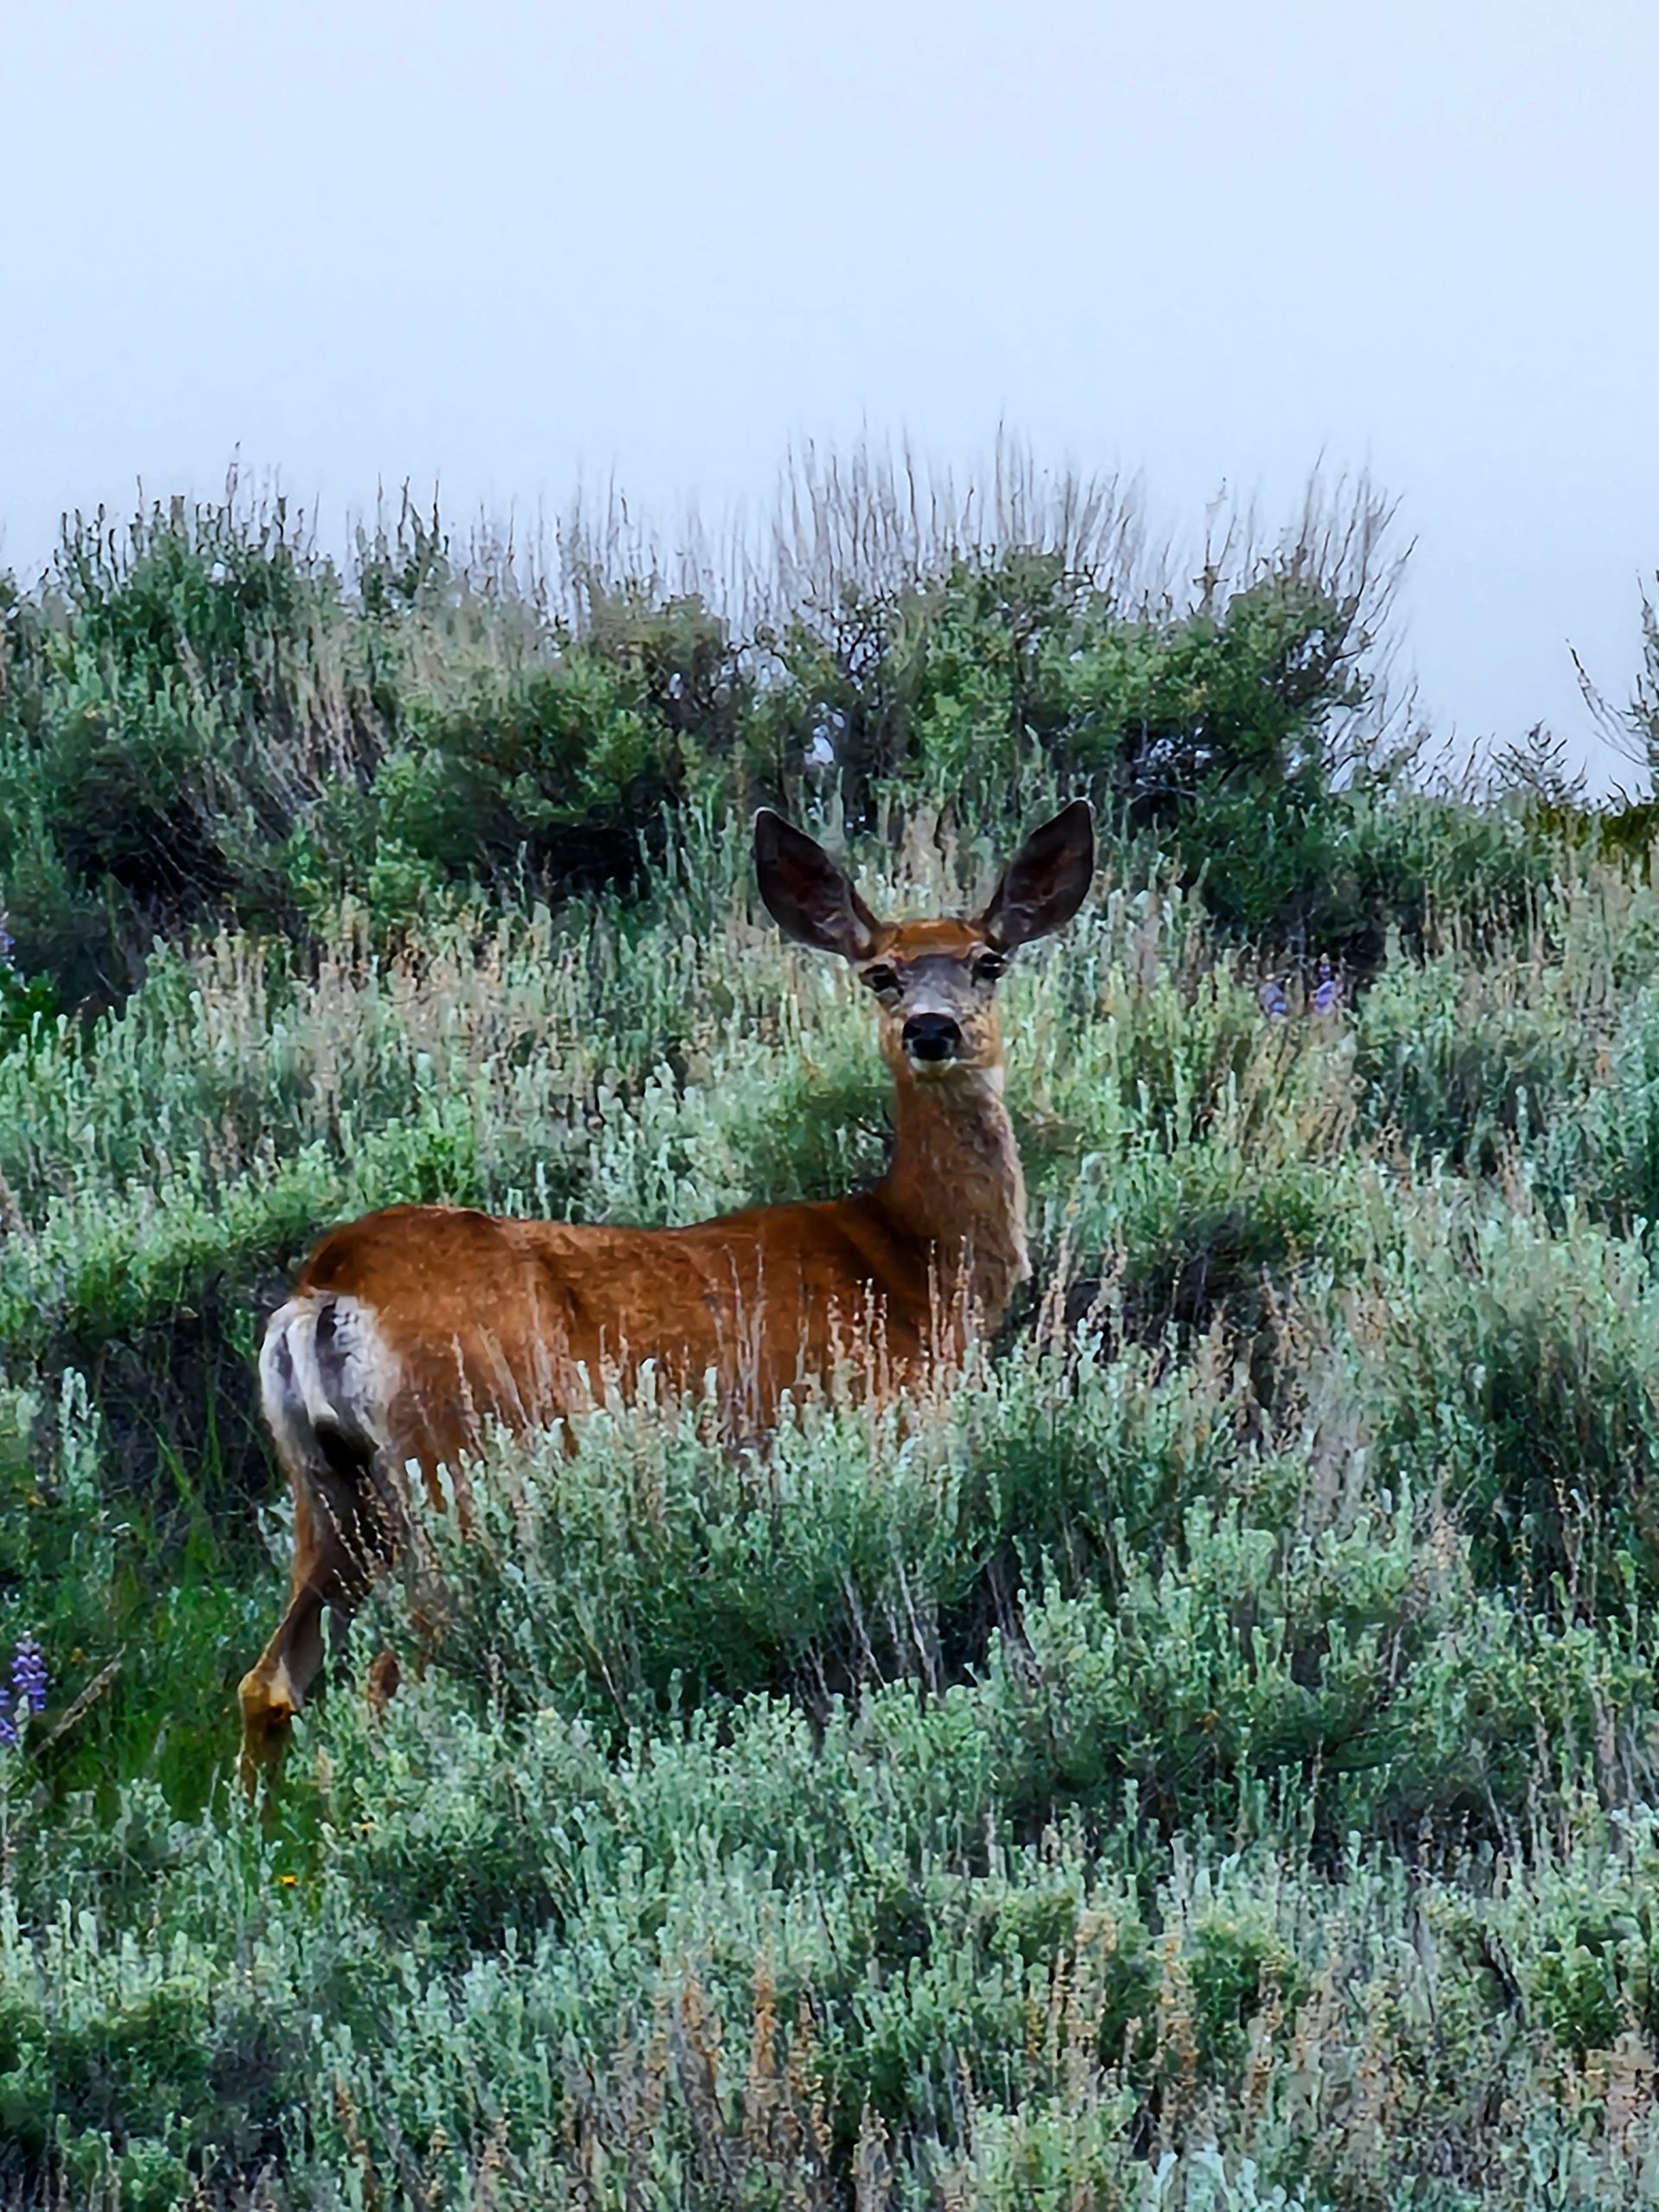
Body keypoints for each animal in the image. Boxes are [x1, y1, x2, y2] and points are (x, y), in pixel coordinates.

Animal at [238, 799, 1095, 1782]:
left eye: (988, 960)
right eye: (881, 974)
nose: (932, 1030)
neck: (915, 1262)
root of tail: (328, 1284)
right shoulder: (886, 1424)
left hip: (331, 1492)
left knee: (270, 1679)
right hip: (460, 1460)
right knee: (390, 1681)